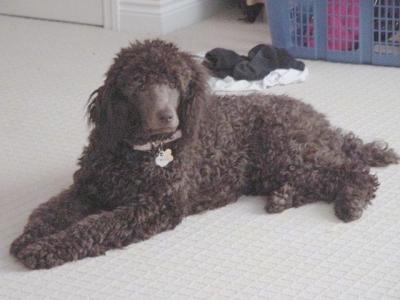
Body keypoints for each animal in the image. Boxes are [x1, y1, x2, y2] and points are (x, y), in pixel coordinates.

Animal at [10, 38, 398, 268]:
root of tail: (323, 122)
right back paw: (282, 198)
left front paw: (45, 249)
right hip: (278, 166)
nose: (167, 117)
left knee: (355, 173)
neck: (142, 153)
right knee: (321, 179)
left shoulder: (152, 207)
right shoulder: (87, 189)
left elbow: (94, 226)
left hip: (288, 152)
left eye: (176, 83)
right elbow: (50, 210)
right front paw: (31, 237)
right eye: (137, 84)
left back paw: (351, 203)